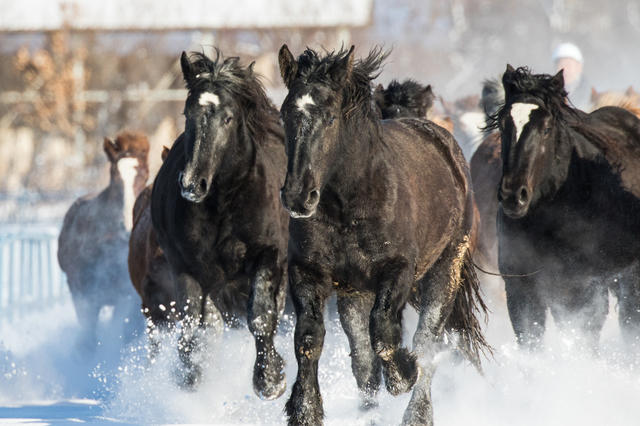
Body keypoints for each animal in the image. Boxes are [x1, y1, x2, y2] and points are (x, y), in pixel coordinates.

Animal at [56, 131, 149, 346]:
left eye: (145, 175)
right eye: (114, 176)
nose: (127, 226)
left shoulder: (127, 298)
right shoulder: (83, 294)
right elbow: (88, 335)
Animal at [150, 50, 288, 400]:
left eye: (227, 118)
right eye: (187, 113)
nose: (192, 184)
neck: (224, 206)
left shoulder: (268, 256)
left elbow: (261, 316)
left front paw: (270, 380)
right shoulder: (186, 268)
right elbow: (192, 332)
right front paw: (190, 381)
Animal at [278, 45, 488, 426]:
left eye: (330, 118)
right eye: (286, 113)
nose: (298, 196)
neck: (348, 206)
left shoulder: (398, 270)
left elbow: (386, 334)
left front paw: (403, 374)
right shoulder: (308, 272)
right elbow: (309, 339)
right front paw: (304, 410)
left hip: (445, 271)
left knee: (427, 341)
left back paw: (417, 412)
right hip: (354, 295)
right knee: (363, 362)